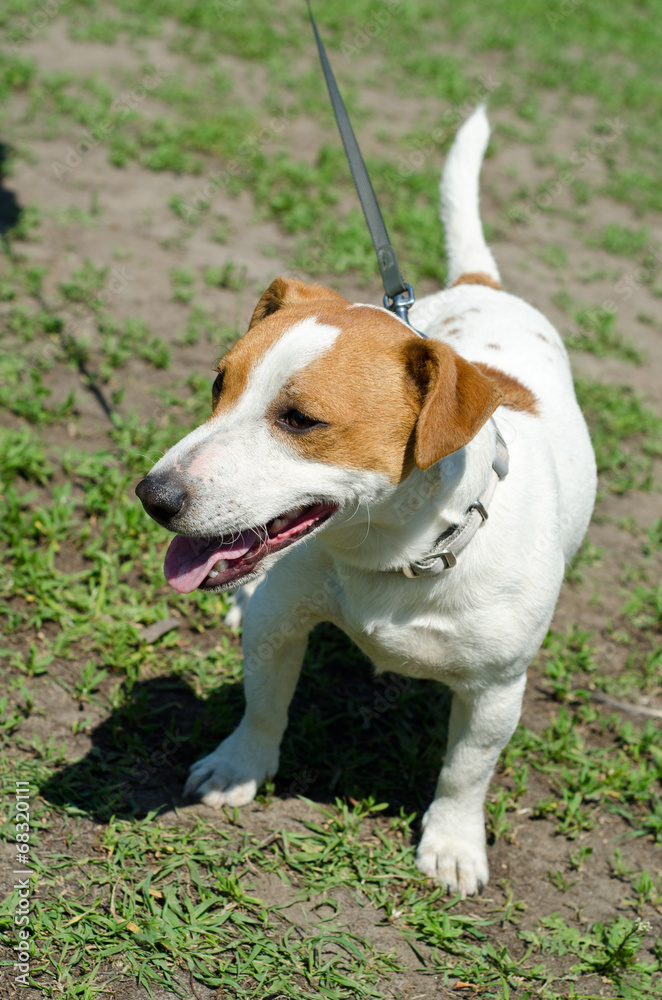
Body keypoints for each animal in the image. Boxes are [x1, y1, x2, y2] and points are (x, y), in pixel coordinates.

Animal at [137, 109, 600, 900]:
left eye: (300, 420)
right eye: (218, 384)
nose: (152, 494)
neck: (396, 554)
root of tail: (483, 286)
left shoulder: (496, 692)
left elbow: (465, 773)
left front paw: (453, 844)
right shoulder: (279, 626)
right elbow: (264, 706)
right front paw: (239, 767)